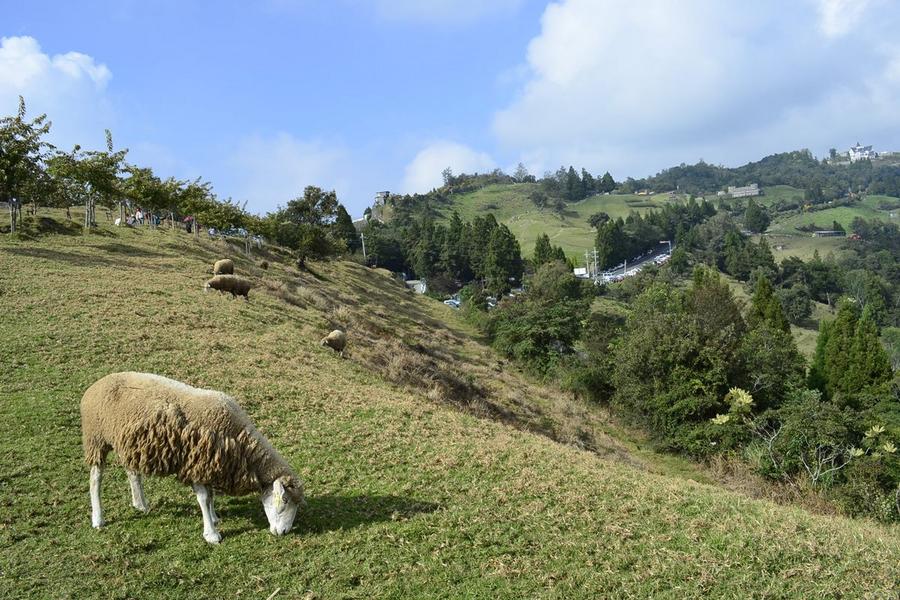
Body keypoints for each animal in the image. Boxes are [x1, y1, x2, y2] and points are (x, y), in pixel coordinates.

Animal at [81, 370, 306, 544]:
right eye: (285, 500)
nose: (284, 532)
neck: (241, 442)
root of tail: (94, 386)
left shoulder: (209, 464)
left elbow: (211, 496)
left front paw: (214, 518)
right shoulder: (197, 464)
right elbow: (204, 498)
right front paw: (212, 534)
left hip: (130, 444)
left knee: (132, 472)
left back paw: (141, 504)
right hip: (96, 438)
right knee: (95, 479)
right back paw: (98, 519)